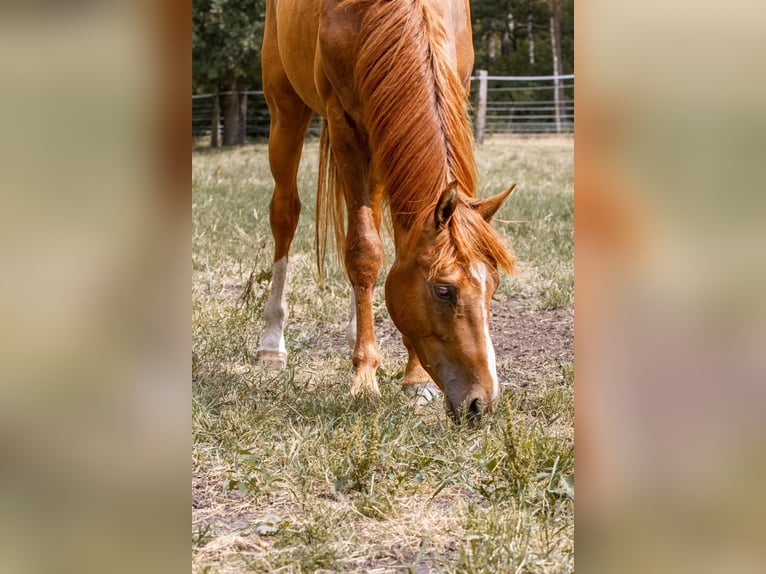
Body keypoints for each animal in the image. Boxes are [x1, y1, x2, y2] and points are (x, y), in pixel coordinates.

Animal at [256, 0, 516, 422]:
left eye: (493, 285)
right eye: (443, 291)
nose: (481, 403)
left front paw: (416, 381)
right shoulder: (345, 123)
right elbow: (363, 251)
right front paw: (364, 378)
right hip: (285, 108)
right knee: (285, 214)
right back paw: (272, 344)